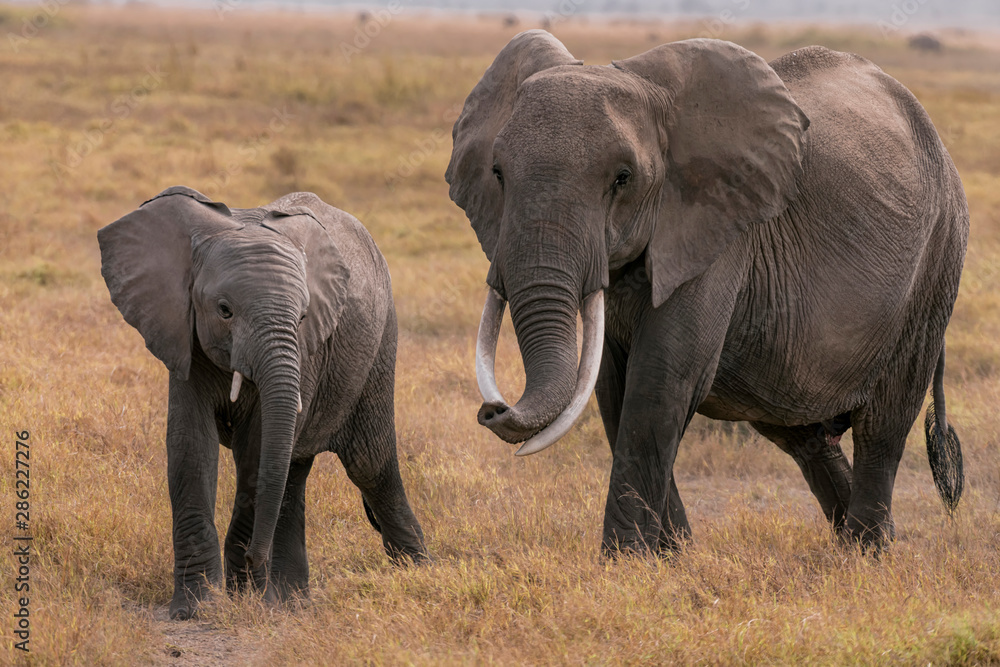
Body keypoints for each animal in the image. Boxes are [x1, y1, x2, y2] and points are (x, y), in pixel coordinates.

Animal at [98, 186, 427, 619]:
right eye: (224, 311)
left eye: (303, 316)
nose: (256, 556)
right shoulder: (183, 336)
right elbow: (190, 446)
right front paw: (196, 608)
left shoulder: (305, 350)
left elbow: (256, 452)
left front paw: (244, 599)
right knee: (295, 471)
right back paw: (290, 601)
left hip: (381, 341)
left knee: (369, 463)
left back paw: (421, 572)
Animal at [446, 31, 968, 555]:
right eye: (497, 173)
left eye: (622, 178)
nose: (493, 410)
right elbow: (613, 388)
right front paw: (671, 557)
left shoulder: (718, 225)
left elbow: (660, 381)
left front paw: (627, 560)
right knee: (803, 434)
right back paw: (861, 548)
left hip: (937, 261)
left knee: (883, 426)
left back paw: (866, 554)